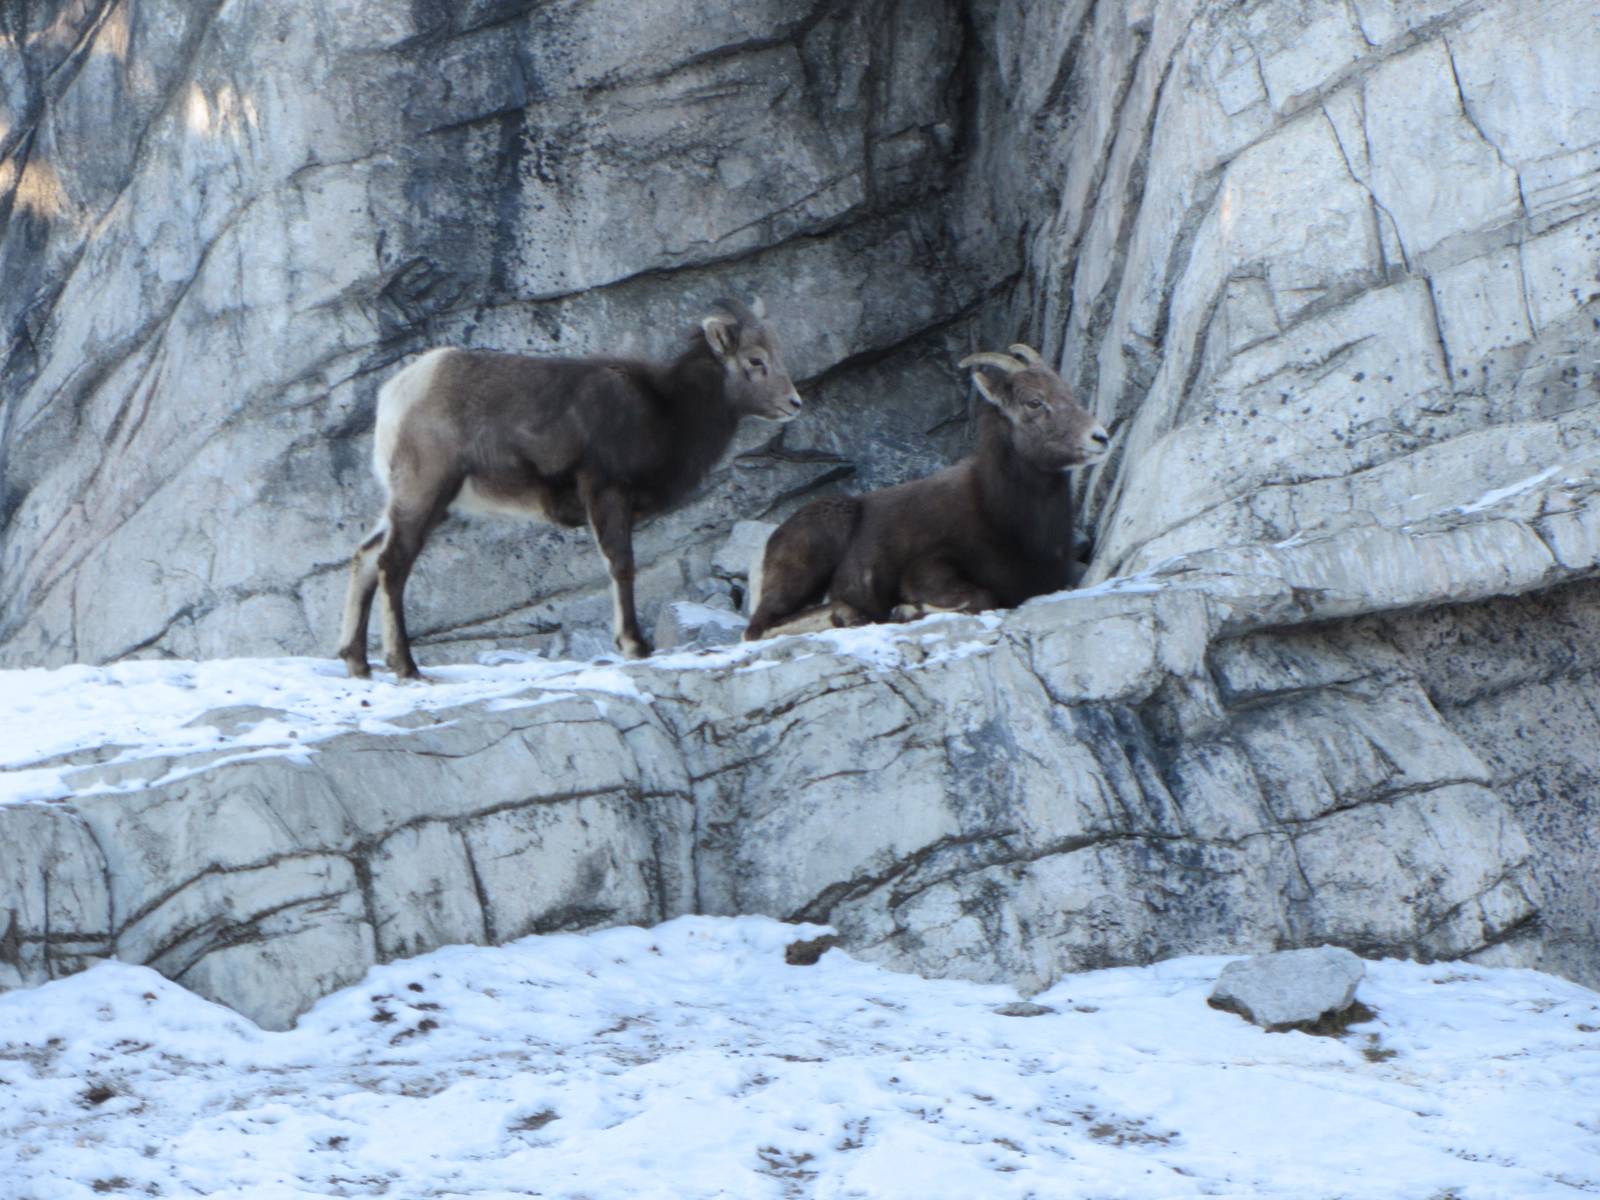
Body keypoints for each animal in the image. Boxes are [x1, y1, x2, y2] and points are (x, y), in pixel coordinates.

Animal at [339, 298, 802, 679]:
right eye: (755, 360)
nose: (794, 404)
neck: (667, 412)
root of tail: (397, 394)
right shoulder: (606, 491)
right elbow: (621, 565)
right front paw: (634, 645)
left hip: (418, 502)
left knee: (366, 556)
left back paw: (358, 663)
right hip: (425, 492)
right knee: (392, 564)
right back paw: (406, 667)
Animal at [743, 344, 1107, 639]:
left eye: (1068, 394)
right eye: (1034, 402)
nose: (1100, 437)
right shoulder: (930, 567)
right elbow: (982, 596)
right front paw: (904, 610)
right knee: (759, 629)